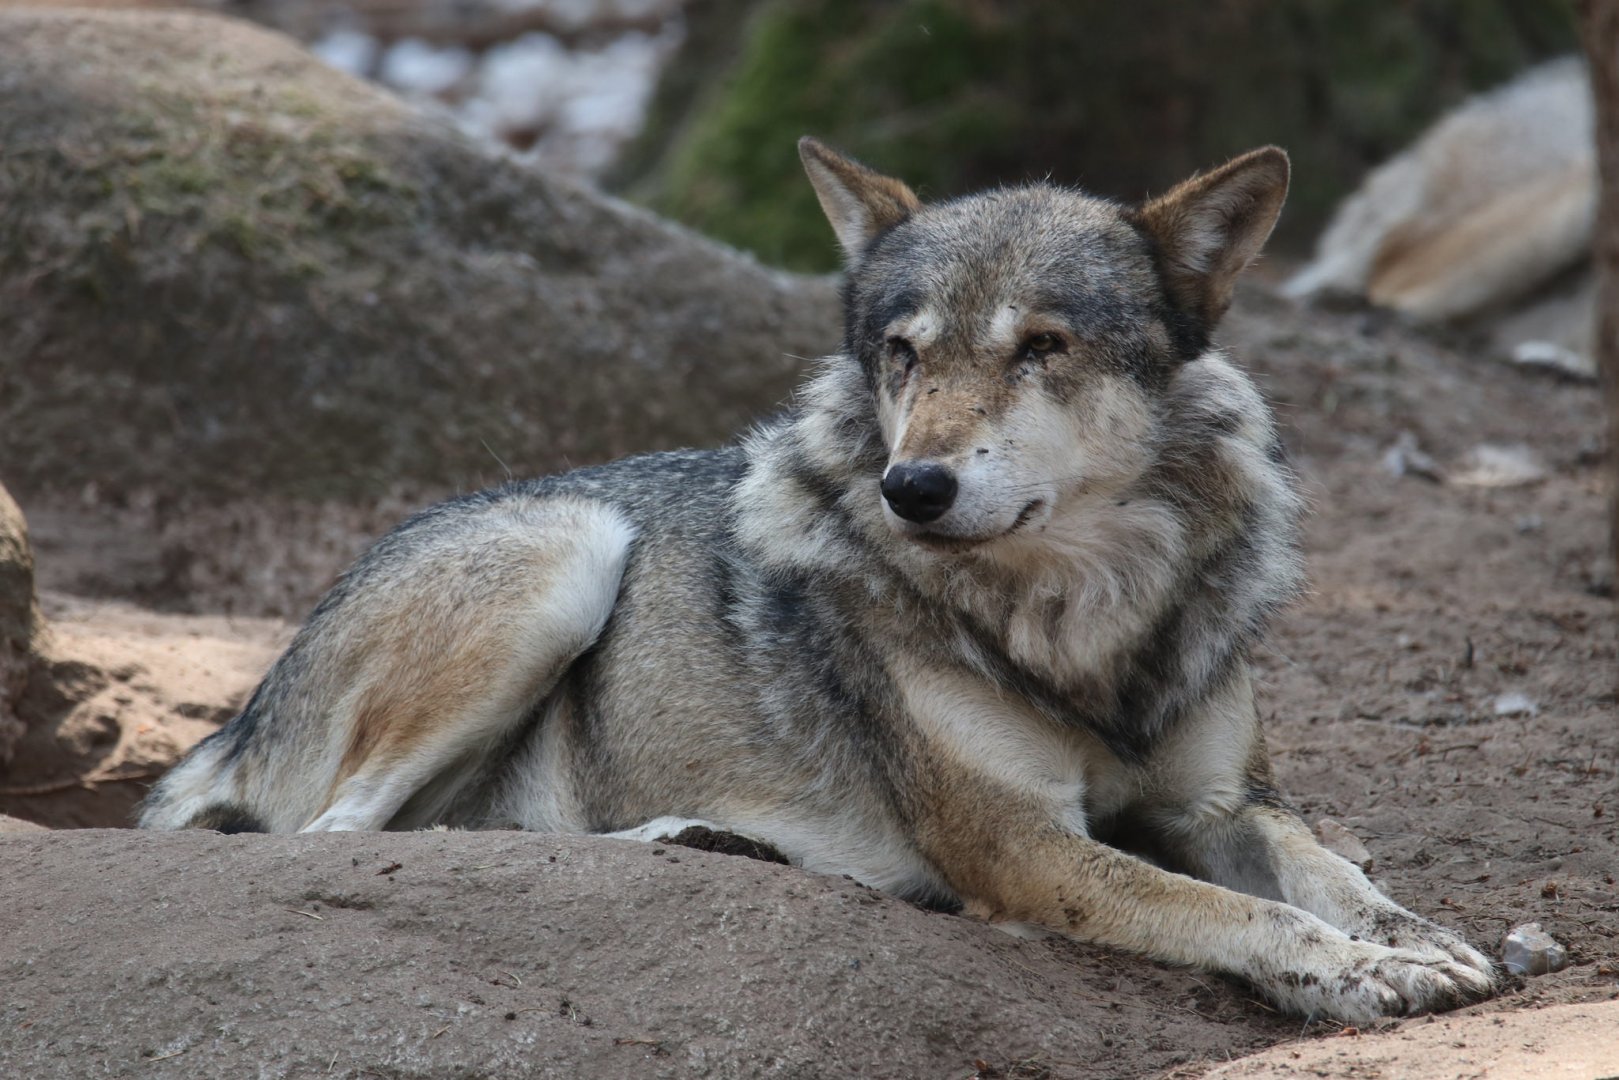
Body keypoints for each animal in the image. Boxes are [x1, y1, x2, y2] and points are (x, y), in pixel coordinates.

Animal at [140, 138, 1497, 1023]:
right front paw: (1361, 973)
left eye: (1041, 348)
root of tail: (240, 711)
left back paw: (708, 839)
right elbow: (1234, 914)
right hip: (565, 552)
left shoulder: (1222, 804)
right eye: (902, 354)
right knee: (335, 839)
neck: (1077, 623)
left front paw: (1422, 939)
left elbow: (1335, 874)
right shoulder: (1021, 846)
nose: (913, 488)